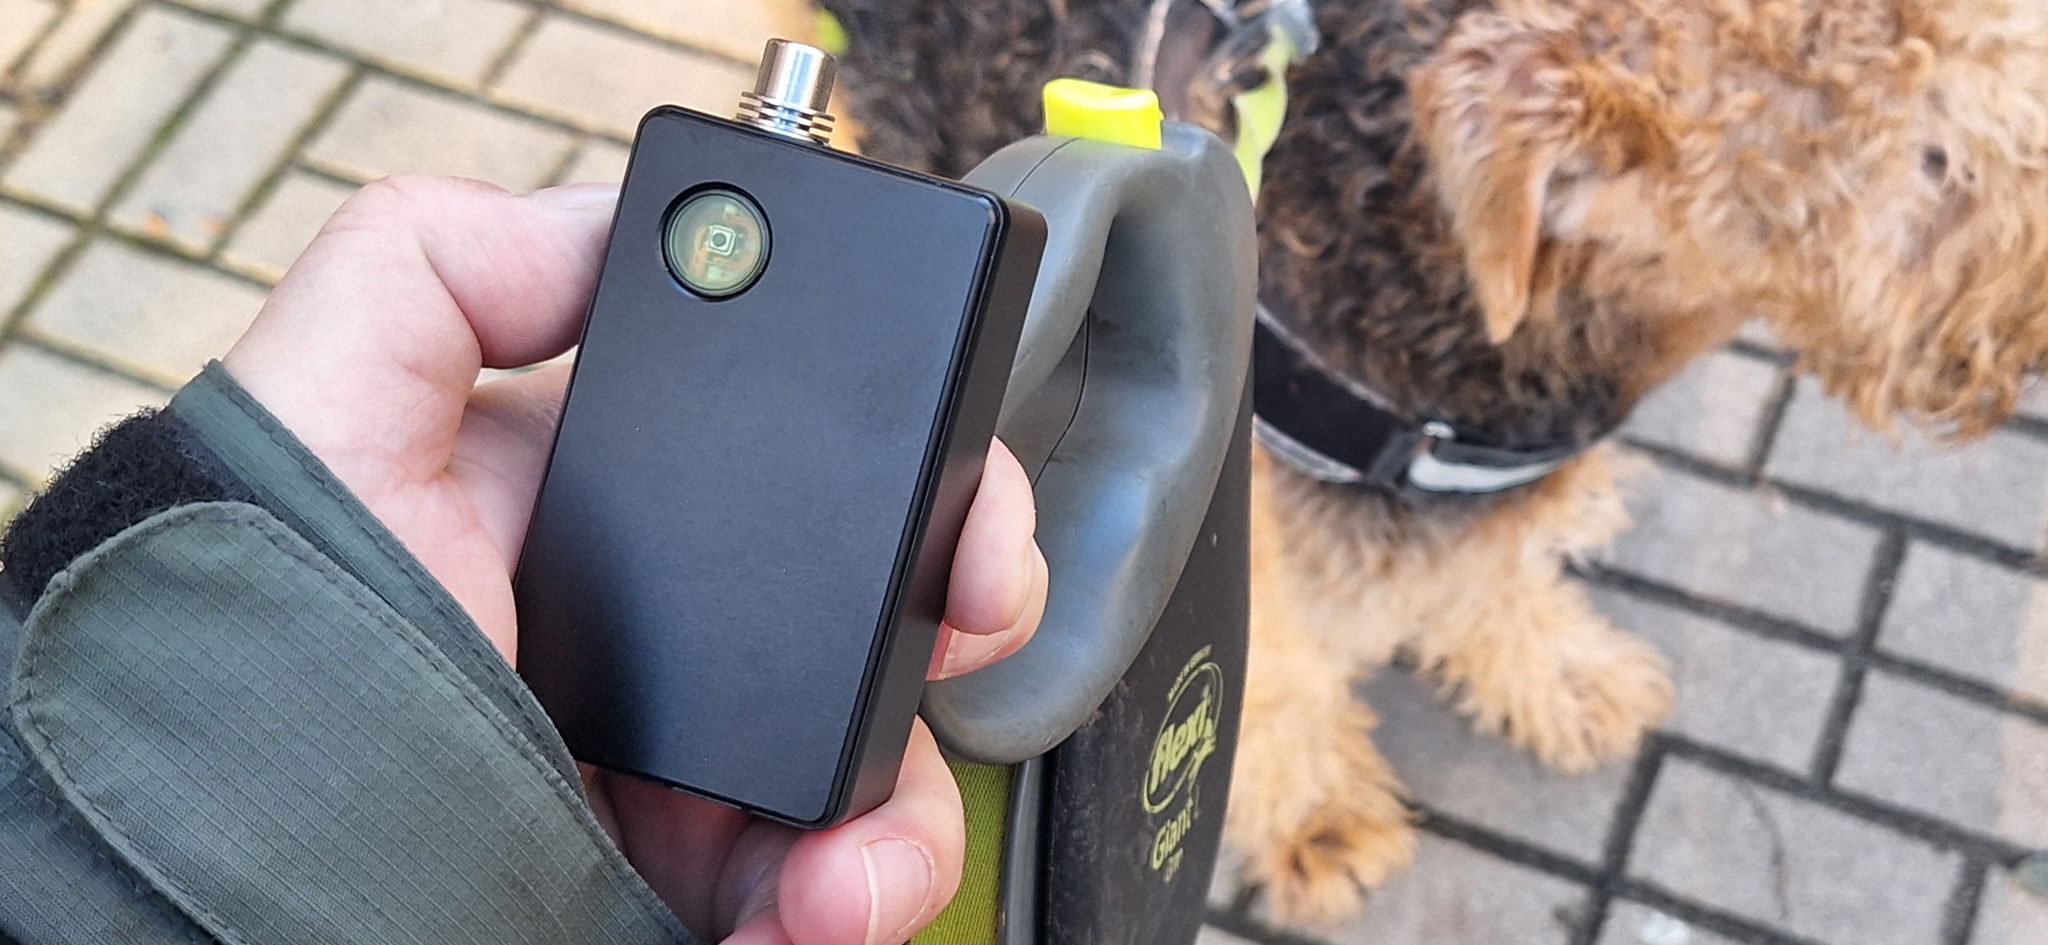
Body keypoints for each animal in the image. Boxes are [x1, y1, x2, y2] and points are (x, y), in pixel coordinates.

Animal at [814, 0, 2048, 927]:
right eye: (1937, 159)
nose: (2027, 330)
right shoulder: (1239, 505)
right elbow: (1279, 675)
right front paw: (1314, 819)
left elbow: (1491, 576)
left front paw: (1559, 677)